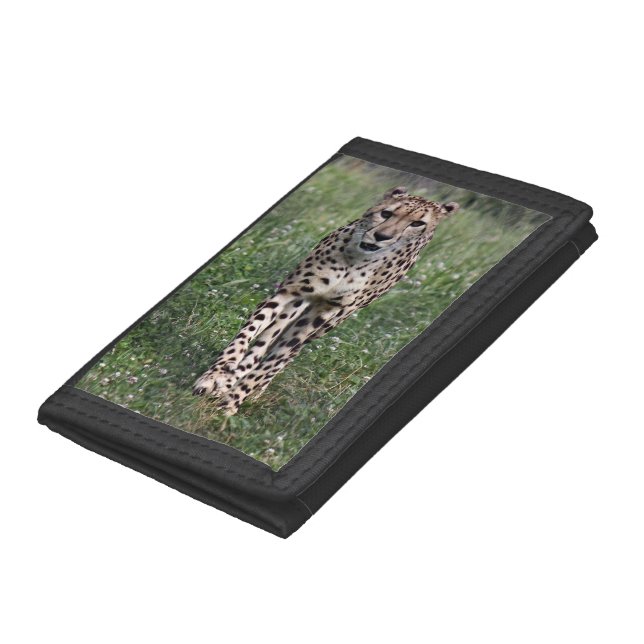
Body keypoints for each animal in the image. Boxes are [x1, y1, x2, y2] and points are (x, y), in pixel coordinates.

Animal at [193, 186, 460, 415]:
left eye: (417, 223)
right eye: (386, 213)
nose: (382, 236)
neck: (355, 259)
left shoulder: (321, 315)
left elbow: (275, 360)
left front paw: (232, 402)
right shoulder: (293, 293)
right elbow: (247, 336)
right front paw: (217, 377)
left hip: (328, 323)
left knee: (284, 354)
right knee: (266, 342)